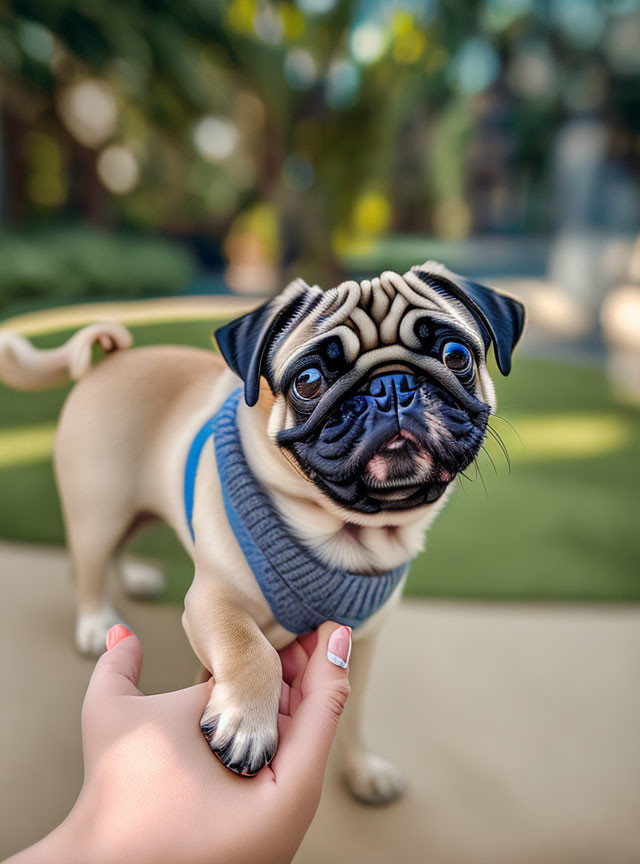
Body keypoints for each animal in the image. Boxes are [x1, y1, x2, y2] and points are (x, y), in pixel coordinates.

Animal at [0, 258, 524, 804]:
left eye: (456, 355)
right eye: (308, 381)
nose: (391, 386)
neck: (348, 535)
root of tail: (113, 360)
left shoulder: (361, 642)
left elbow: (354, 712)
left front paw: (362, 769)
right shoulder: (213, 601)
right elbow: (252, 649)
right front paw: (248, 727)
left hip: (132, 510)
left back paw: (135, 579)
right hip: (98, 509)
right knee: (87, 565)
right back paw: (95, 623)